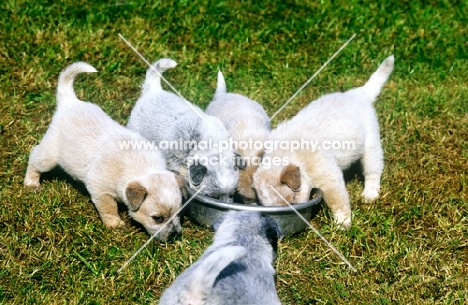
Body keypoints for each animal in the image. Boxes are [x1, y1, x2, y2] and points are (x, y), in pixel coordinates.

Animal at [23, 61, 183, 240]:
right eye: (158, 218)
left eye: (179, 214)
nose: (175, 235)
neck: (141, 167)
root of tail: (70, 102)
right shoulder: (101, 190)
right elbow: (109, 208)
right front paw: (115, 224)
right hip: (48, 157)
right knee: (34, 157)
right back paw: (31, 183)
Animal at [252, 55, 394, 229]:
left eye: (293, 199)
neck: (292, 154)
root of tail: (357, 94)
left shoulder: (329, 179)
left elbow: (338, 203)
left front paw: (343, 224)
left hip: (371, 148)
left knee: (373, 172)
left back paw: (370, 194)